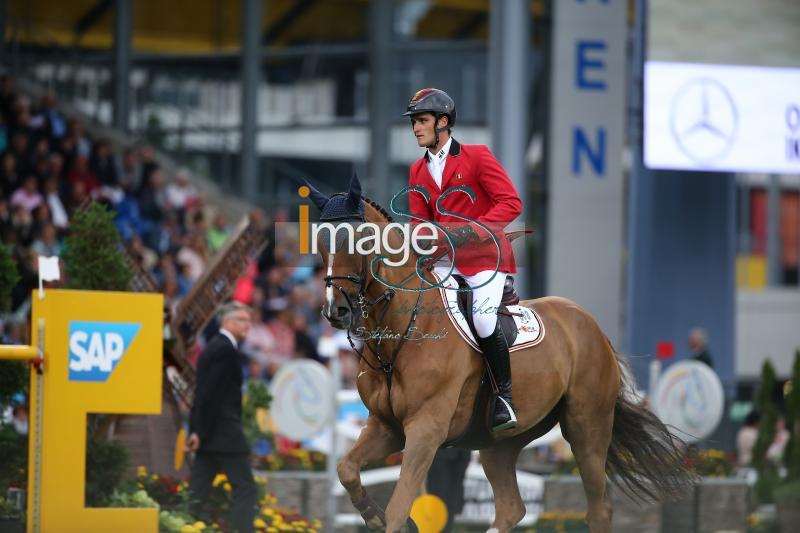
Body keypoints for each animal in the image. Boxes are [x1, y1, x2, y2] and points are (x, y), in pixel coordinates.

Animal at [310, 185, 692, 528]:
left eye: (356, 240)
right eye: (320, 242)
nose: (334, 310)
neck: (402, 333)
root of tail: (592, 326)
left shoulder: (425, 429)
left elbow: (399, 508)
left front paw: (388, 518)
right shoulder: (385, 426)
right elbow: (346, 470)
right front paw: (371, 514)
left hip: (587, 429)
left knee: (599, 509)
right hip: (500, 442)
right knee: (511, 508)